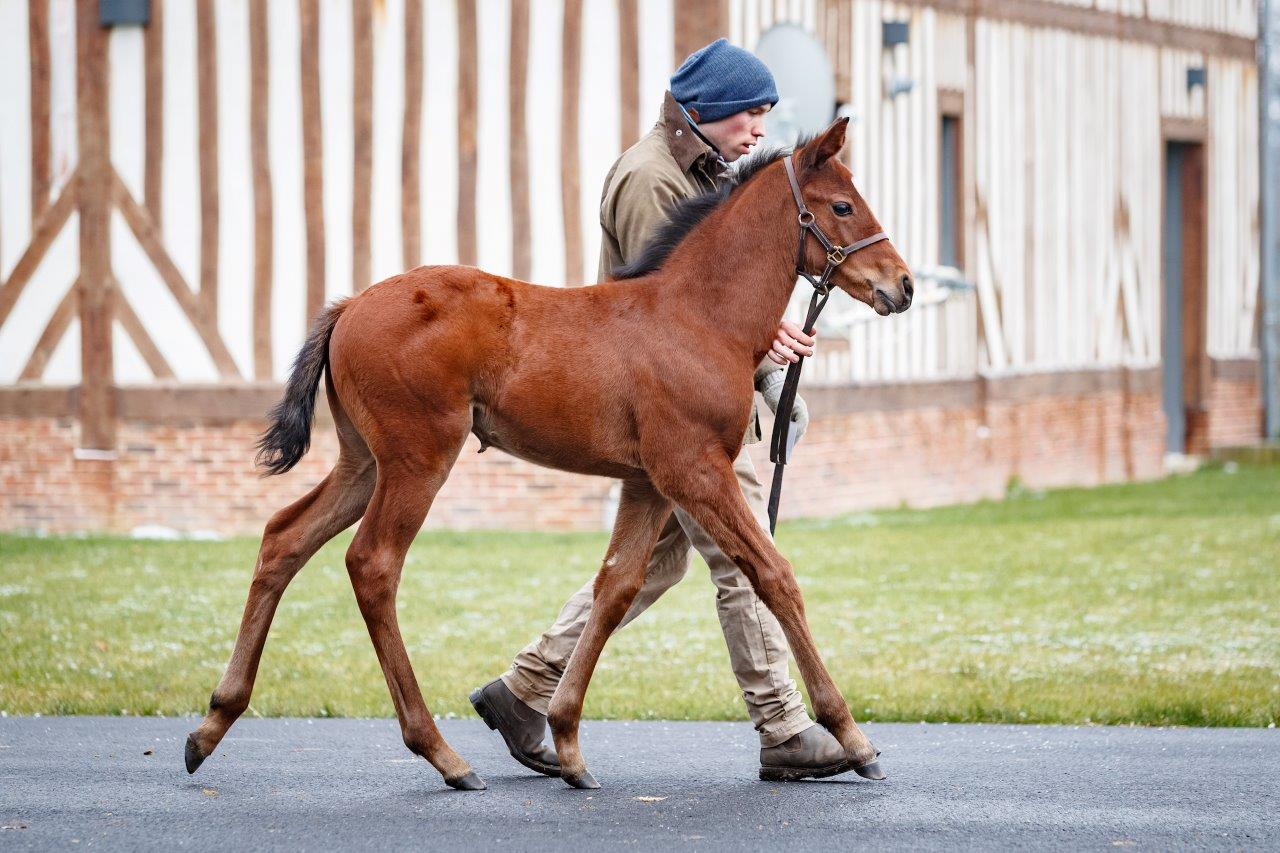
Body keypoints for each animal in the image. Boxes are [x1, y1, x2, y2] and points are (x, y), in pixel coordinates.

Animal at [186, 116, 911, 788]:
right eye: (842, 206)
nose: (901, 284)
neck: (698, 317)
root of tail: (351, 304)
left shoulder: (649, 480)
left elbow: (615, 585)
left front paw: (564, 740)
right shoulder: (695, 470)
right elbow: (773, 575)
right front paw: (853, 738)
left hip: (365, 460)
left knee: (284, 537)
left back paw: (213, 721)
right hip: (420, 456)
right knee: (373, 564)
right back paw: (442, 754)